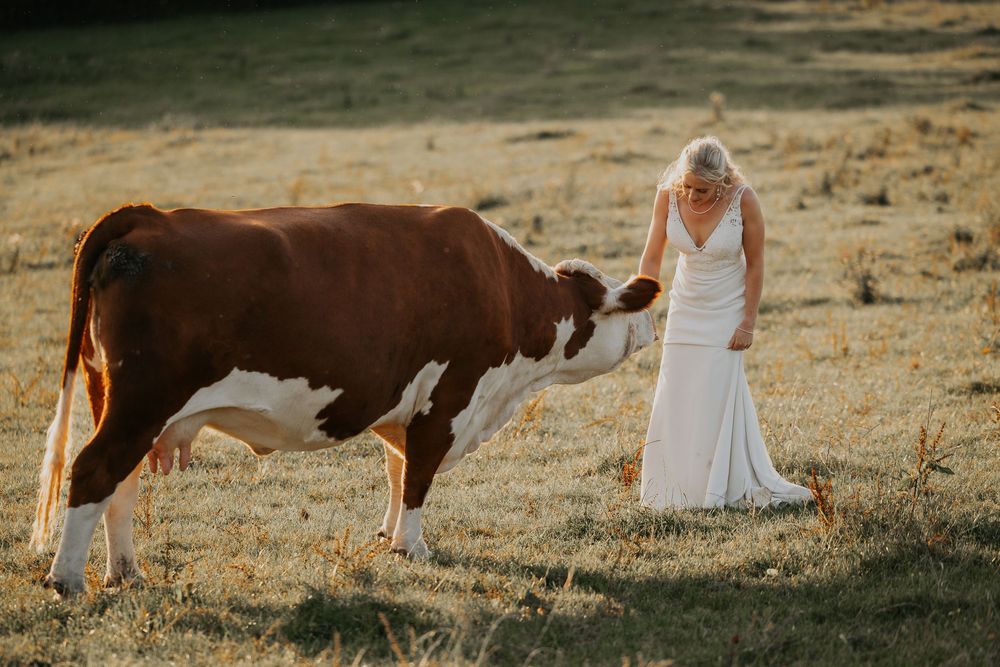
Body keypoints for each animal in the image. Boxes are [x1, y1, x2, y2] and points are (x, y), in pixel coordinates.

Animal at [30, 202, 661, 596]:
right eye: (627, 307)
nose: (651, 328)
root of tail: (147, 217)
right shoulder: (450, 396)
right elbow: (419, 474)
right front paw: (410, 546)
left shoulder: (403, 402)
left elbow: (397, 468)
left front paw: (386, 534)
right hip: (141, 401)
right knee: (93, 470)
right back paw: (67, 580)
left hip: (116, 399)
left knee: (120, 483)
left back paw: (125, 573)